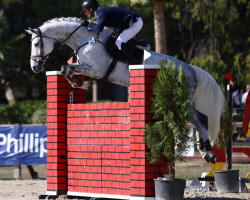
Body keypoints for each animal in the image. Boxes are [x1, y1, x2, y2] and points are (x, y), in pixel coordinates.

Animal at [26, 17, 226, 164]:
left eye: (36, 44)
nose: (35, 67)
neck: (85, 40)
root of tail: (190, 69)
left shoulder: (95, 69)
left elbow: (67, 68)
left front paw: (81, 84)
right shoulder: (85, 67)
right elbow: (66, 68)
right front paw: (79, 83)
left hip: (181, 101)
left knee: (202, 119)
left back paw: (208, 152)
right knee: (198, 122)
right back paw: (205, 151)